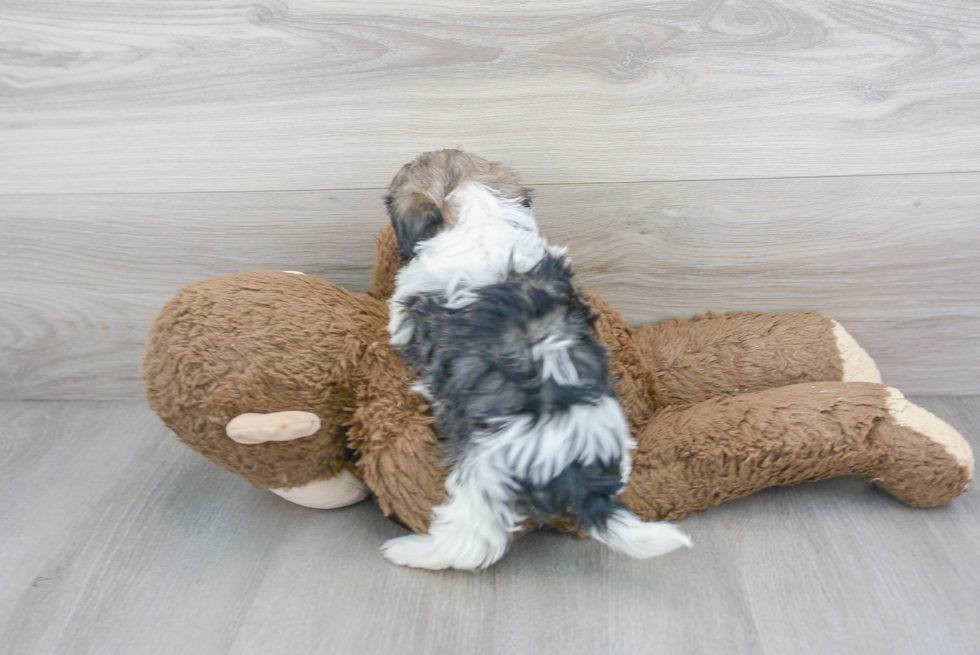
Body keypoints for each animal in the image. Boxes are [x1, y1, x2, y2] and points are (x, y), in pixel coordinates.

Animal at [378, 149, 692, 568]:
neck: (478, 216)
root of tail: (573, 466)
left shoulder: (408, 305)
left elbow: (397, 318)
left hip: (483, 473)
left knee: (472, 542)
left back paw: (410, 551)